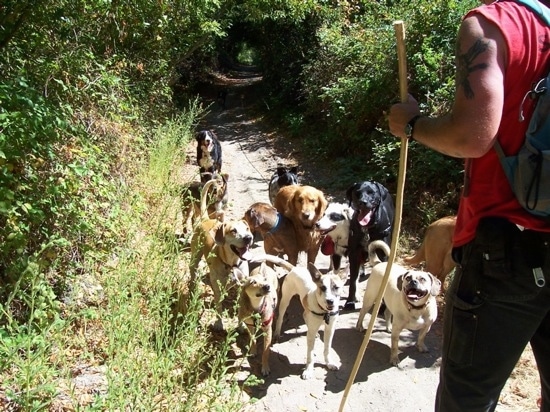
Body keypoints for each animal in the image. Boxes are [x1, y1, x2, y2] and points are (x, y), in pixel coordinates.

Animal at [191, 179, 256, 330]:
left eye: (247, 228)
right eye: (233, 231)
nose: (248, 238)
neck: (231, 265)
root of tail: (205, 219)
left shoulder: (242, 288)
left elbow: (240, 309)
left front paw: (241, 326)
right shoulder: (217, 289)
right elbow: (219, 308)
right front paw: (219, 324)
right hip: (195, 257)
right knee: (193, 271)